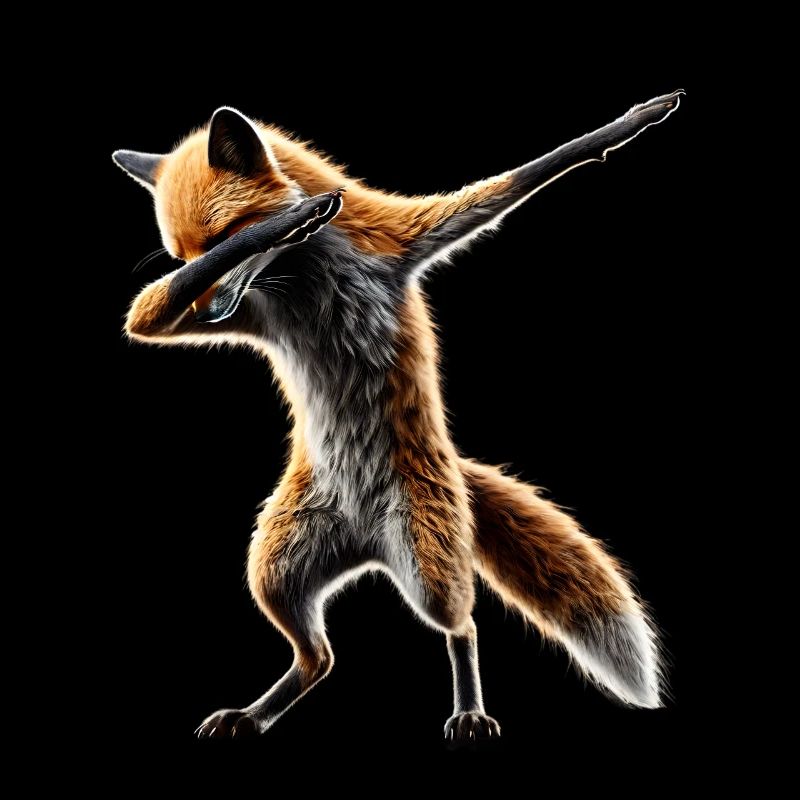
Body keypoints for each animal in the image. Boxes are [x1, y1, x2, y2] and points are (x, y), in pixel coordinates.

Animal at [114, 90, 682, 742]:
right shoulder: (235, 311)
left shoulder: (404, 239)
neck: (308, 280)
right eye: (182, 256)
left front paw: (627, 125)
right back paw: (254, 715)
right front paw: (294, 218)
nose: (208, 317)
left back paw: (469, 711)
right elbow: (146, 313)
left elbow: (525, 175)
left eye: (220, 236)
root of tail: (365, 542)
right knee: (320, 657)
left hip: (426, 563)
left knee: (462, 625)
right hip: (275, 567)